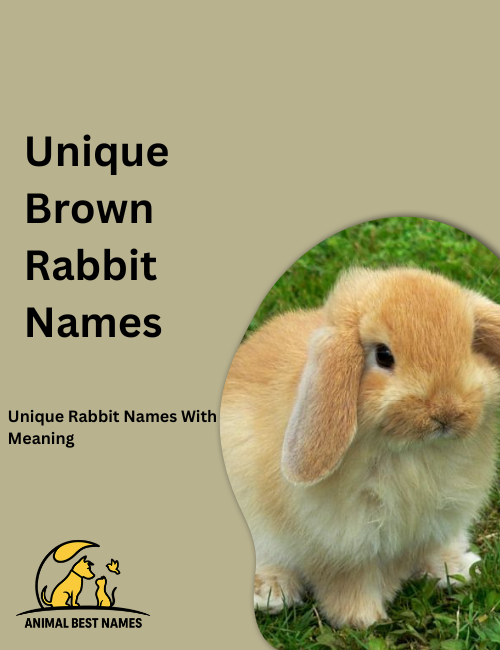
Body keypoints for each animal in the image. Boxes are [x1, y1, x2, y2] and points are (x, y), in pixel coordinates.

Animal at [220, 267, 500, 629]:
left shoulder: (435, 523)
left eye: (470, 345)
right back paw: (270, 594)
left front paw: (456, 571)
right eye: (383, 355)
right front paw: (364, 620)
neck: (413, 453)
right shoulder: (345, 547)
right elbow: (350, 583)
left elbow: (427, 549)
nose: (446, 413)